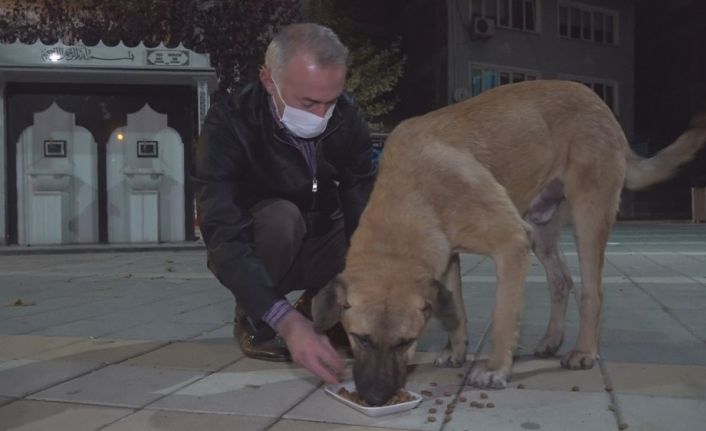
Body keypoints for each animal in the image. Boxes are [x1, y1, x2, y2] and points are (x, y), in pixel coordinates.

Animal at [314, 80, 704, 404]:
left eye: (405, 342)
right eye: (360, 338)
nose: (375, 396)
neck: (412, 193)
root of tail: (603, 106)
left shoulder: (511, 243)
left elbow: (503, 316)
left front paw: (496, 368)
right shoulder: (450, 256)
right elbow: (456, 310)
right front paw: (456, 351)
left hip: (588, 217)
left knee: (593, 291)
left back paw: (583, 352)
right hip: (541, 228)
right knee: (562, 280)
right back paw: (550, 340)